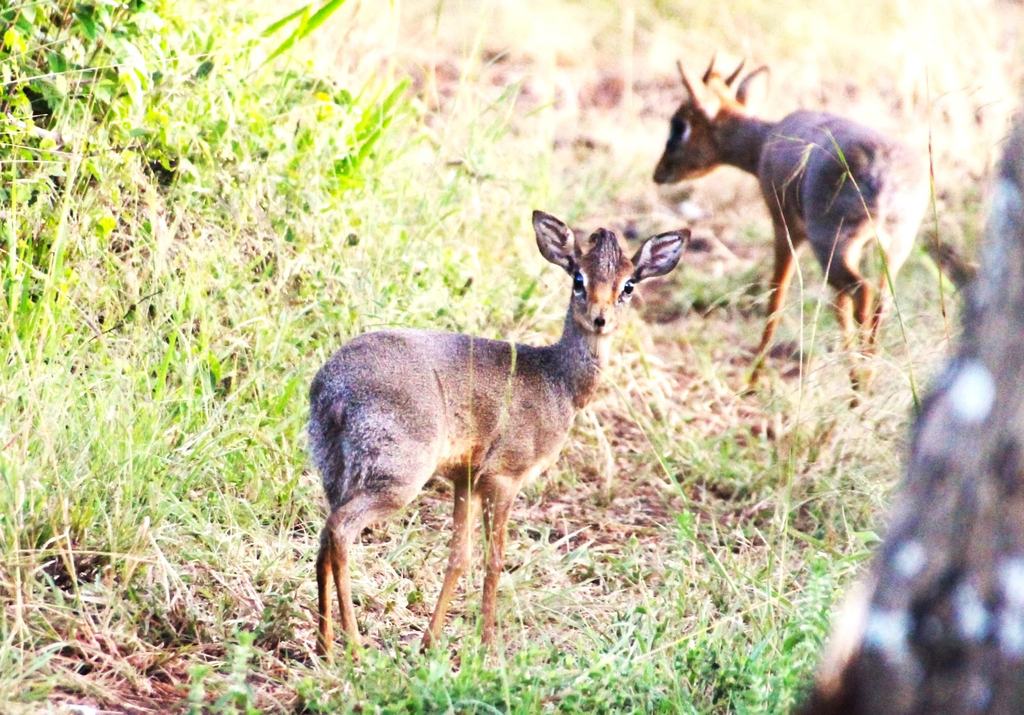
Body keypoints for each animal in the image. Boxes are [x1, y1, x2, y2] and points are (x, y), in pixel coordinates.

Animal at [308, 211, 688, 655]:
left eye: (628, 285)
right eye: (578, 278)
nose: (600, 318)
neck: (557, 380)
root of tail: (333, 387)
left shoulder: (465, 480)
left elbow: (458, 557)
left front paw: (430, 642)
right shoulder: (505, 478)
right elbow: (494, 560)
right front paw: (488, 645)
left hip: (336, 473)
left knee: (324, 535)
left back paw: (324, 643)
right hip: (396, 478)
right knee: (340, 531)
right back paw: (353, 645)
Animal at [654, 55, 928, 385]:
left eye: (679, 125)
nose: (659, 173)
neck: (766, 141)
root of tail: (881, 168)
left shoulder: (784, 227)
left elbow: (777, 294)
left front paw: (752, 380)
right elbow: (836, 305)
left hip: (832, 245)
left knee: (862, 292)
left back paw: (861, 379)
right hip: (893, 248)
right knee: (878, 300)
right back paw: (866, 375)